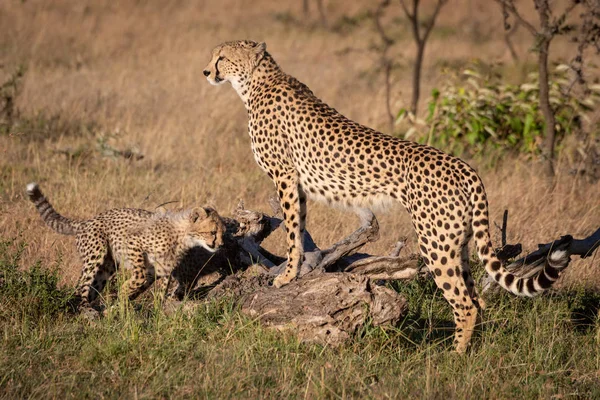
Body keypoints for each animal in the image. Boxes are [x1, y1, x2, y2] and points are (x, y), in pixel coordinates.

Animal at [25, 183, 225, 308]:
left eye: (222, 232)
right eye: (213, 232)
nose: (221, 244)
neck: (182, 235)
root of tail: (86, 221)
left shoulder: (161, 270)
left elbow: (157, 289)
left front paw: (153, 308)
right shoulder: (132, 242)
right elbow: (139, 276)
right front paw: (123, 293)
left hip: (107, 267)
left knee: (92, 287)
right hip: (96, 253)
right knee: (81, 285)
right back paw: (85, 311)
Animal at [202, 40, 568, 352]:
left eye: (222, 57)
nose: (206, 72)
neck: (255, 83)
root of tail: (463, 165)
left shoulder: (285, 178)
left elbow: (292, 232)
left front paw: (287, 277)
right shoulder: (297, 185)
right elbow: (300, 228)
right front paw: (298, 273)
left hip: (435, 242)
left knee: (464, 303)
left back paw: (454, 356)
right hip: (457, 241)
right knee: (477, 298)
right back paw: (469, 351)